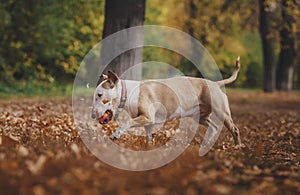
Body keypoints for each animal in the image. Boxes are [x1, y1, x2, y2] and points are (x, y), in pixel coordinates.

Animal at [91, 57, 241, 145]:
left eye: (99, 95)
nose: (93, 115)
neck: (128, 92)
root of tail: (215, 83)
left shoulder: (147, 117)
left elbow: (126, 123)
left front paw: (115, 135)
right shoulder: (148, 123)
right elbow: (149, 137)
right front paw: (149, 149)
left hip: (221, 112)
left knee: (234, 129)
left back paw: (238, 146)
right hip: (200, 116)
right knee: (214, 128)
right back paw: (207, 143)